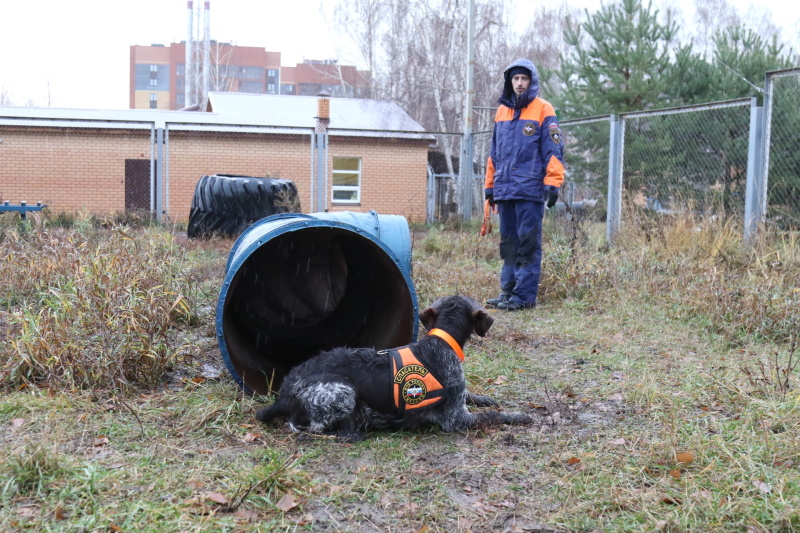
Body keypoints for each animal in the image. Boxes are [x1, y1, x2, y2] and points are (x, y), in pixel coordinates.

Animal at [256, 294, 532, 438]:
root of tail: (283, 396)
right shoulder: (456, 419)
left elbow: (472, 395)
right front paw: (519, 416)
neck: (440, 342)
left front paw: (486, 398)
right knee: (315, 429)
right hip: (342, 389)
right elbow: (493, 416)